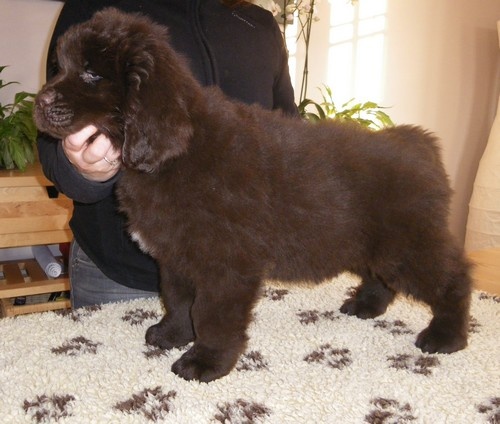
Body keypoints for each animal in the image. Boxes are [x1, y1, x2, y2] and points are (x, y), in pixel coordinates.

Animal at [34, 8, 472, 382]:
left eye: (91, 74)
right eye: (60, 67)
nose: (38, 102)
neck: (174, 153)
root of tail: (419, 142)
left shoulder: (226, 263)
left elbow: (211, 314)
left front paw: (205, 363)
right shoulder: (175, 256)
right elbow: (177, 300)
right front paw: (171, 335)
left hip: (409, 244)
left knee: (453, 277)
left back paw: (446, 336)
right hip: (374, 242)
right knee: (383, 277)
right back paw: (365, 306)